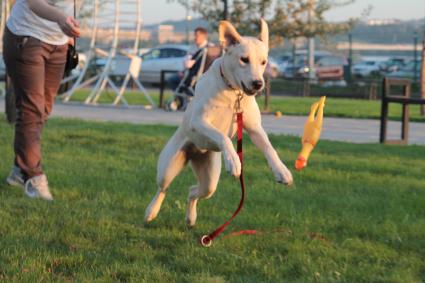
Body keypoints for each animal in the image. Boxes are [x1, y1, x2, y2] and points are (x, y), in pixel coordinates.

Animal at [144, 19, 294, 229]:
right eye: (244, 59)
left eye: (264, 62)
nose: (258, 83)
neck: (232, 91)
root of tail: (195, 152)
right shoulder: (198, 121)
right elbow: (222, 136)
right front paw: (233, 160)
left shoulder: (255, 129)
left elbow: (268, 147)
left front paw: (281, 171)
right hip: (168, 166)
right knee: (162, 189)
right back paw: (151, 211)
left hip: (209, 179)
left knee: (193, 191)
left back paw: (191, 218)